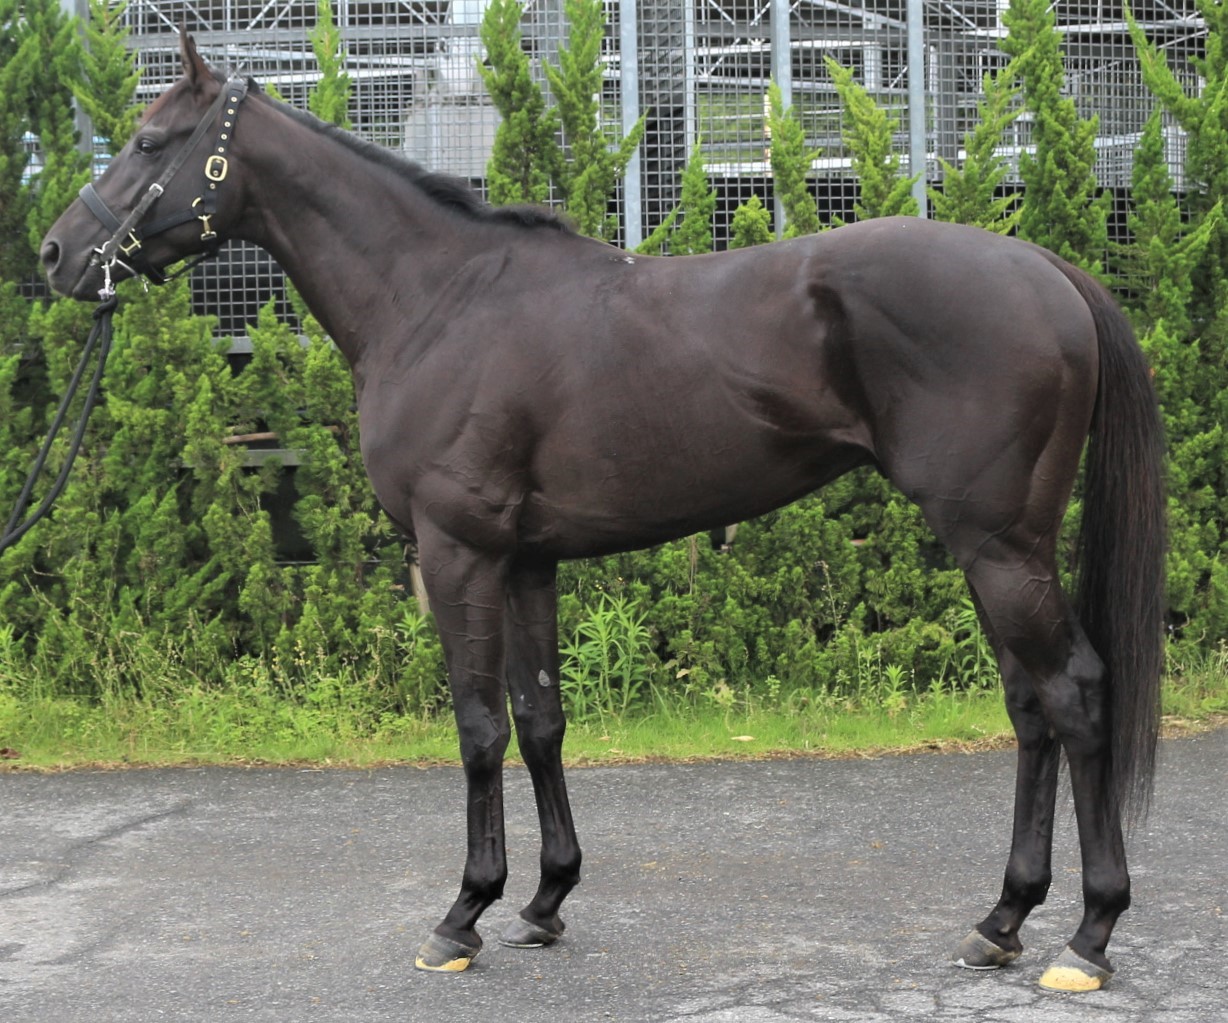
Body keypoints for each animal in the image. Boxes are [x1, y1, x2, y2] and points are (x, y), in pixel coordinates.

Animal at [41, 32, 1165, 991]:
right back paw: (1001, 920)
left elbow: (478, 726)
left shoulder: (457, 553)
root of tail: (1046, 269)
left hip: (998, 542)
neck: (441, 301)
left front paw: (462, 914)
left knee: (1071, 694)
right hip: (992, 546)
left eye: (149, 141)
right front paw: (544, 900)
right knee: (1029, 708)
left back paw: (1088, 936)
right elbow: (541, 720)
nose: (56, 255)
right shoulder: (527, 559)